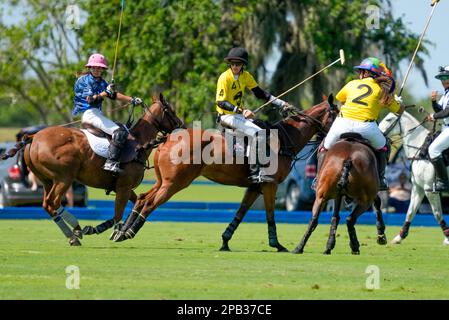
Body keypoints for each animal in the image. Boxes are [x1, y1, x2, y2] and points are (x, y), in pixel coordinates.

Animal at [1, 94, 183, 246]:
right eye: (170, 110)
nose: (181, 125)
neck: (139, 143)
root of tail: (33, 137)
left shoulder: (124, 187)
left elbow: (136, 202)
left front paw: (118, 231)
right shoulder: (124, 186)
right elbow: (118, 214)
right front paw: (106, 230)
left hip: (46, 180)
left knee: (48, 204)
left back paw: (75, 231)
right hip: (64, 178)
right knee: (53, 202)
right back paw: (74, 233)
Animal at [114, 95, 338, 252]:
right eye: (337, 115)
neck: (285, 139)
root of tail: (167, 138)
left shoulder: (255, 186)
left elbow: (241, 212)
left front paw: (225, 241)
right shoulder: (270, 183)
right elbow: (270, 214)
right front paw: (277, 244)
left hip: (163, 181)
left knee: (142, 198)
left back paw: (121, 232)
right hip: (175, 183)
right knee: (150, 203)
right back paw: (129, 232)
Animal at [378, 112, 448, 245]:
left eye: (389, 119)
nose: (378, 132)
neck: (419, 149)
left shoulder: (429, 189)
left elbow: (437, 213)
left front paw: (447, 238)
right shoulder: (418, 188)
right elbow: (410, 212)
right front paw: (399, 237)